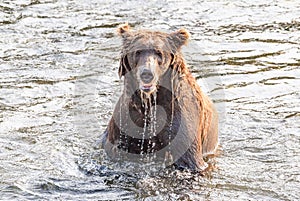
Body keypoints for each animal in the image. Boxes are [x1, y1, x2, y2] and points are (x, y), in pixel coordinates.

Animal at [101, 23, 218, 171]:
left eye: (159, 52)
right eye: (137, 52)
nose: (147, 73)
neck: (150, 99)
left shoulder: (178, 118)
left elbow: (189, 157)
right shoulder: (126, 121)